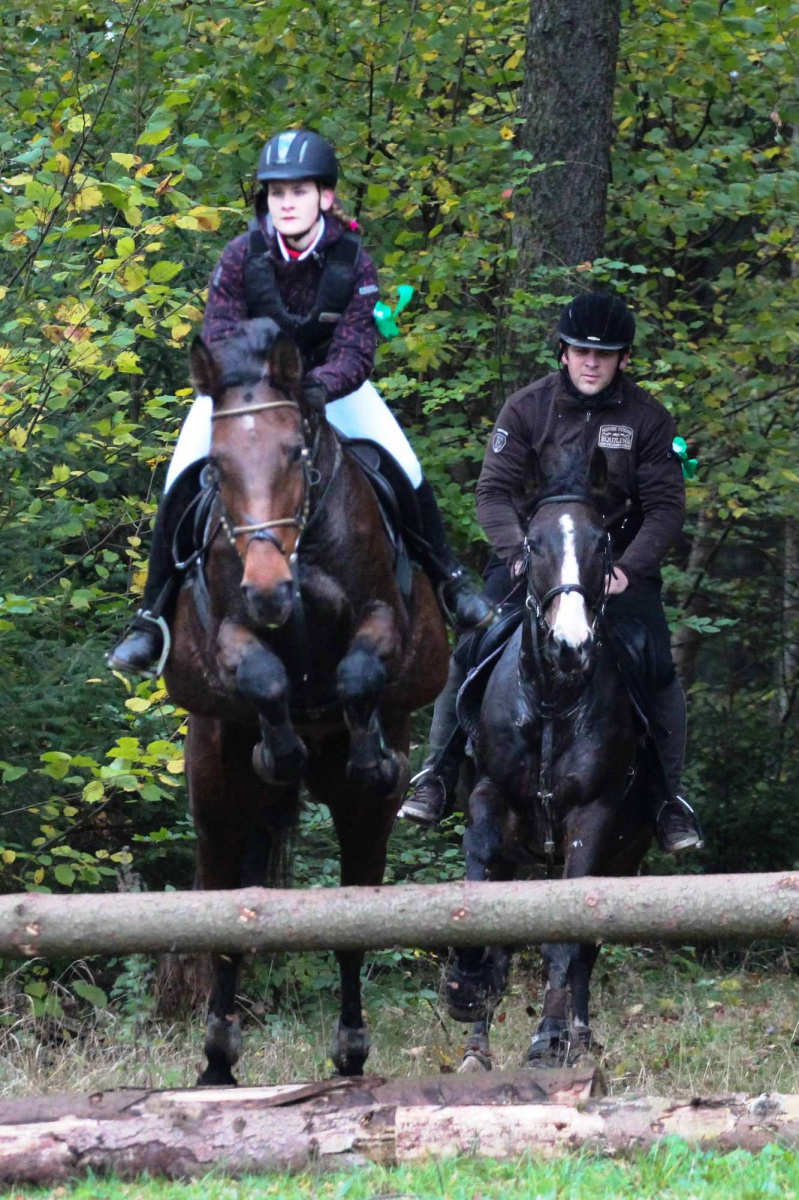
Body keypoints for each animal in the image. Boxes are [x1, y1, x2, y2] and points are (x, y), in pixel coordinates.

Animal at [162, 318, 450, 1085]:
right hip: (215, 797)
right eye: (217, 466)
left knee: (353, 920)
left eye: (295, 452)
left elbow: (356, 675)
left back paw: (350, 1053)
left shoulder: (386, 615)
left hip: (365, 823)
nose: (269, 591)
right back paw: (217, 1062)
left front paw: (368, 753)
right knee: (224, 917)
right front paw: (280, 749)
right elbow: (262, 676)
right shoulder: (226, 630)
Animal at [445, 447, 653, 1070]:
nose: (569, 645)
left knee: (585, 946)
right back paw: (479, 1044)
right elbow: (484, 896)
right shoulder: (490, 795)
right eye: (533, 544)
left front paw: (548, 1040)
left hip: (625, 853)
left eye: (602, 543)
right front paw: (465, 992)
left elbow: (566, 937)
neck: (552, 698)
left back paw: (574, 1039)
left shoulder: (593, 817)